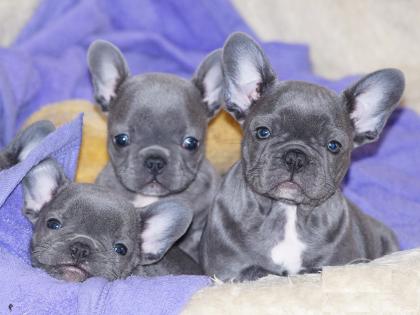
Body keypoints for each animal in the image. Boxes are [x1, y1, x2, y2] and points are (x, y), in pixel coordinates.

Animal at [200, 33, 404, 282]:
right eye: (263, 132)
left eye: (334, 146)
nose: (295, 157)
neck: (288, 212)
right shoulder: (230, 271)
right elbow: (259, 271)